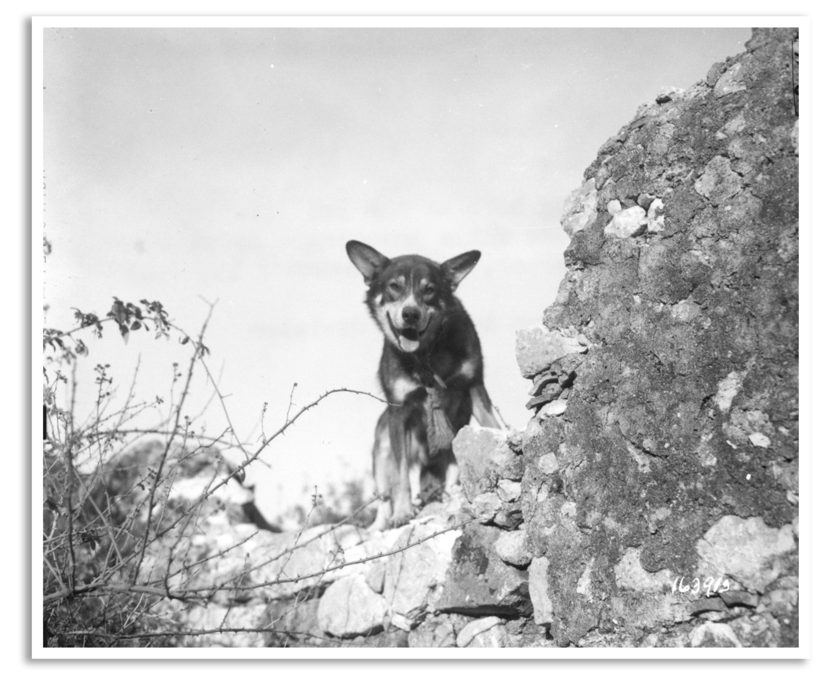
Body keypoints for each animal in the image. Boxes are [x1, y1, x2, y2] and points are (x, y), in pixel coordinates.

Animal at [344, 240, 500, 528]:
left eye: (429, 290)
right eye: (394, 286)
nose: (410, 314)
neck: (427, 354)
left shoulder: (474, 386)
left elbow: (493, 427)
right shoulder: (399, 410)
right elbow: (401, 475)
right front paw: (403, 512)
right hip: (381, 448)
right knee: (384, 497)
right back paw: (383, 522)